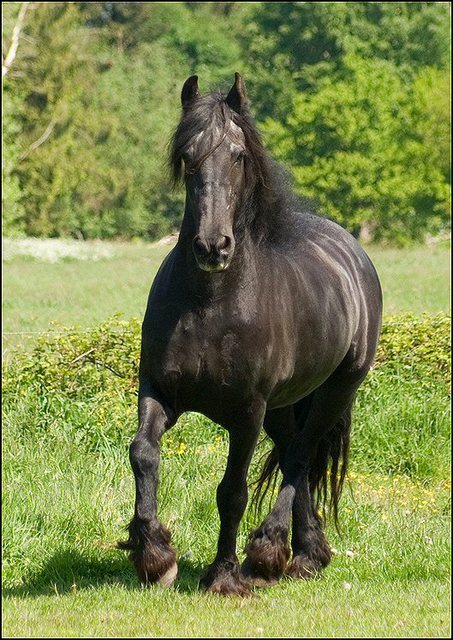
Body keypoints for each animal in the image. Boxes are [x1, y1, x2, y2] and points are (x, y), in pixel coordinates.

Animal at [120, 74, 382, 596]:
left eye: (239, 155)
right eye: (188, 156)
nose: (212, 246)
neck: (209, 304)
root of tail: (353, 251)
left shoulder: (246, 412)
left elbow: (233, 491)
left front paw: (223, 575)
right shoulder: (158, 391)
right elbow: (143, 454)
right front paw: (155, 557)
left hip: (336, 390)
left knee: (299, 457)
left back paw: (267, 554)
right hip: (283, 406)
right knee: (294, 457)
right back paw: (306, 553)